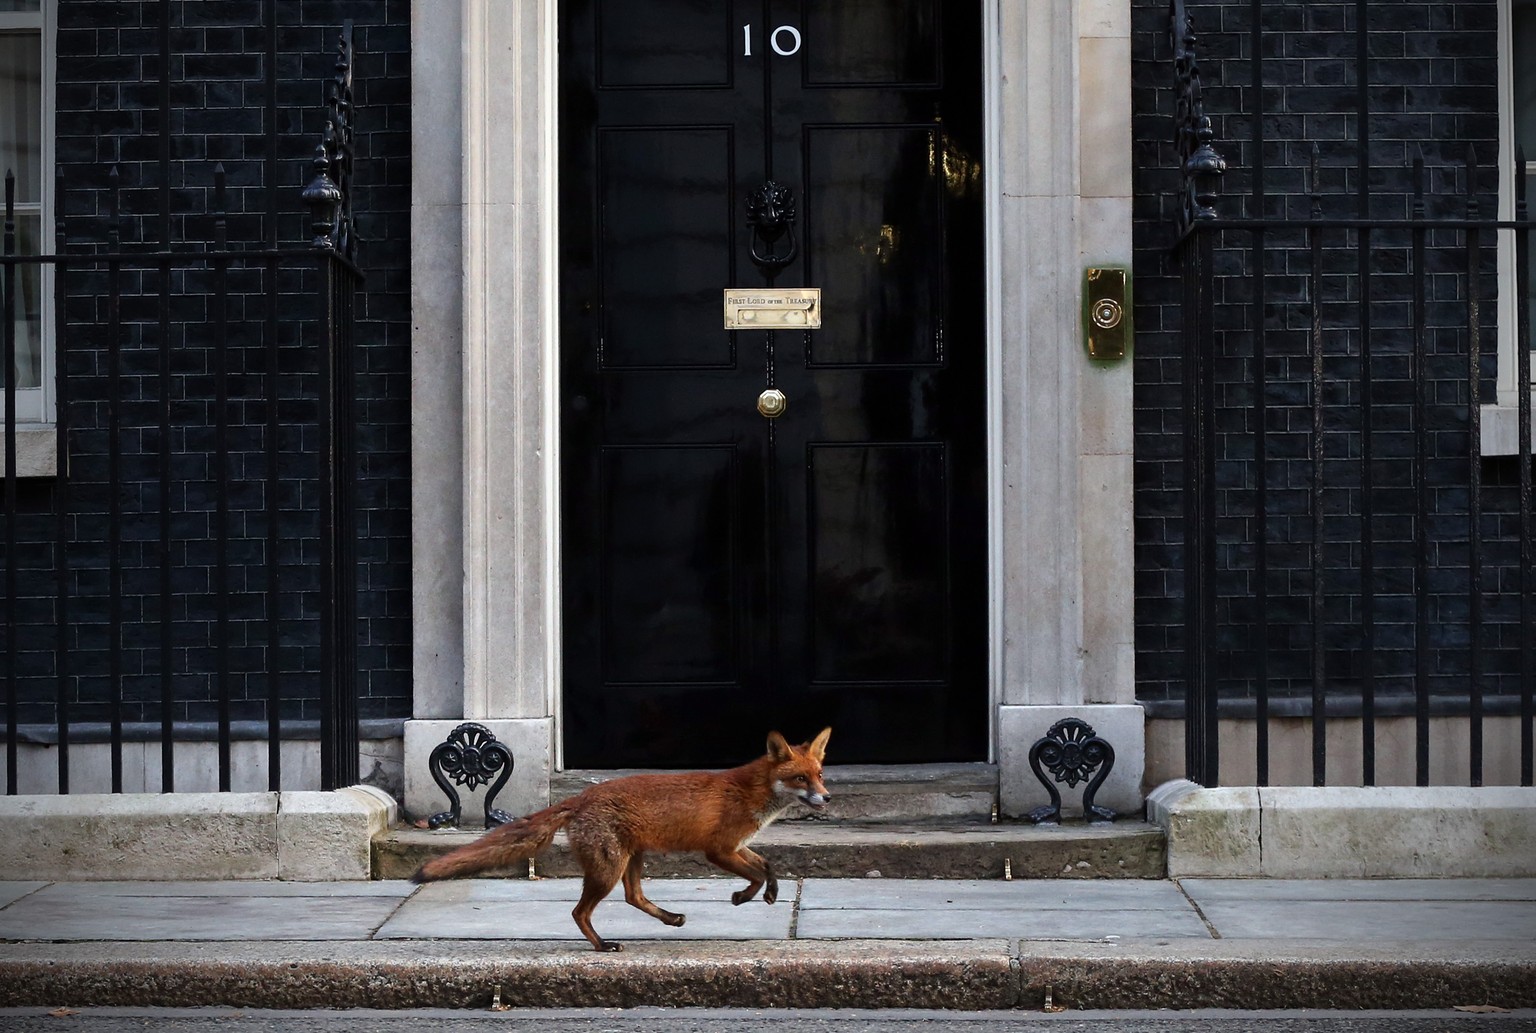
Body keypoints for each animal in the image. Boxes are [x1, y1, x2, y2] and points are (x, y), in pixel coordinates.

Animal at [411, 727, 832, 952]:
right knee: (580, 912)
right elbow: (756, 874)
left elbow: (767, 865)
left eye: (820, 774)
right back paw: (601, 946)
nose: (827, 798)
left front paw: (771, 893)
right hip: (608, 868)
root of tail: (582, 796)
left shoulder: (738, 847)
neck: (750, 793)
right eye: (800, 778)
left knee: (634, 898)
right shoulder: (719, 850)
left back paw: (670, 919)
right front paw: (744, 897)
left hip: (631, 860)